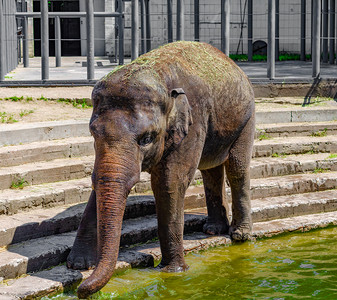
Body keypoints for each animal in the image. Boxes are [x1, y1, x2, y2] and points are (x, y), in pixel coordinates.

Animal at [67, 40, 253, 298]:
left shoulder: (193, 120)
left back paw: (240, 235)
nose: (81, 290)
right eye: (93, 134)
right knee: (211, 170)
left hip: (246, 118)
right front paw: (78, 264)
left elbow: (169, 182)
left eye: (147, 139)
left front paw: (174, 271)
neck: (157, 75)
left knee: (237, 167)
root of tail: (233, 64)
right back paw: (213, 230)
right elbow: (99, 181)